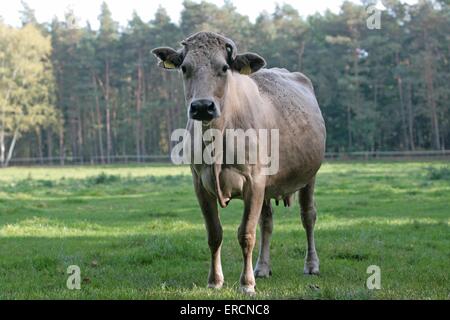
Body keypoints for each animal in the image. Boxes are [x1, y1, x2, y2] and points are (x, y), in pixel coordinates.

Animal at [153, 31, 326, 296]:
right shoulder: (200, 184)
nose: (202, 106)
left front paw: (246, 284)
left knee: (308, 216)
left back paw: (311, 265)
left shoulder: (254, 182)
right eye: (184, 68)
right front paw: (215, 280)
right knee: (267, 222)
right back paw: (262, 268)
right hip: (268, 186)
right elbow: (215, 233)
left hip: (309, 176)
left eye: (224, 68)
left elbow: (246, 234)